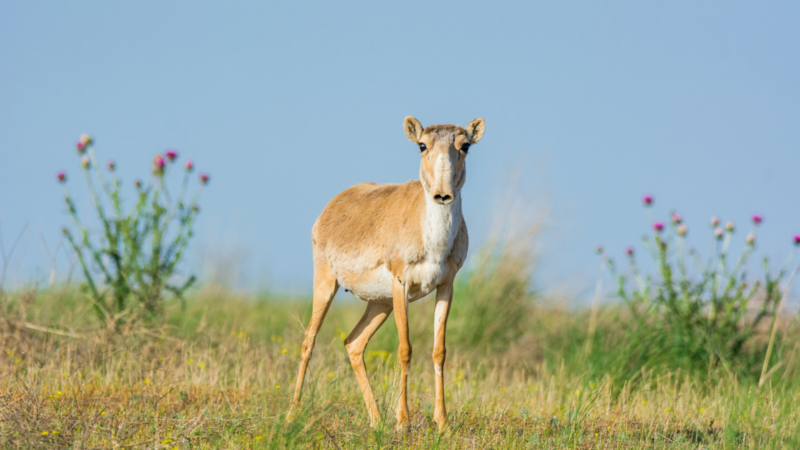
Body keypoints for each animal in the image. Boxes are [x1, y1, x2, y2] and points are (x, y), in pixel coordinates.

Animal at [290, 115, 484, 428]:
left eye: (465, 145)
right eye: (422, 145)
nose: (443, 195)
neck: (434, 243)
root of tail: (332, 205)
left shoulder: (446, 286)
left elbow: (439, 351)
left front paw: (442, 422)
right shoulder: (401, 284)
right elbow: (405, 349)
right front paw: (403, 421)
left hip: (379, 303)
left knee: (354, 343)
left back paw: (376, 420)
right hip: (327, 284)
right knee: (309, 340)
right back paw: (291, 414)